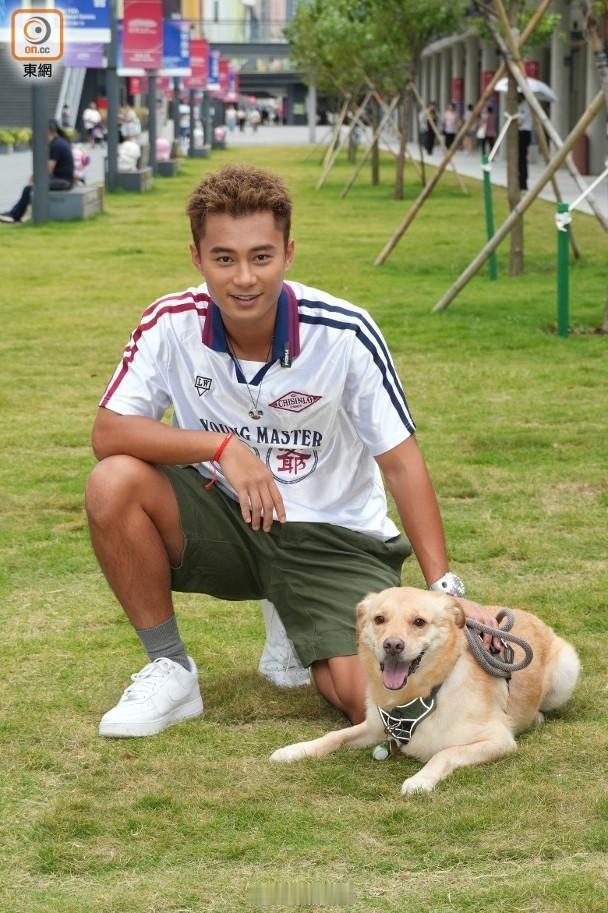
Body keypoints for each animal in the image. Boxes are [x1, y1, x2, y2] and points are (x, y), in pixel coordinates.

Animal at [270, 587, 580, 794]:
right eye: (379, 619)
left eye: (419, 622)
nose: (392, 645)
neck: (423, 695)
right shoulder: (374, 727)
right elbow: (335, 735)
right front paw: (295, 750)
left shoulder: (497, 740)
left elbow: (445, 753)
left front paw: (420, 780)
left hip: (567, 669)